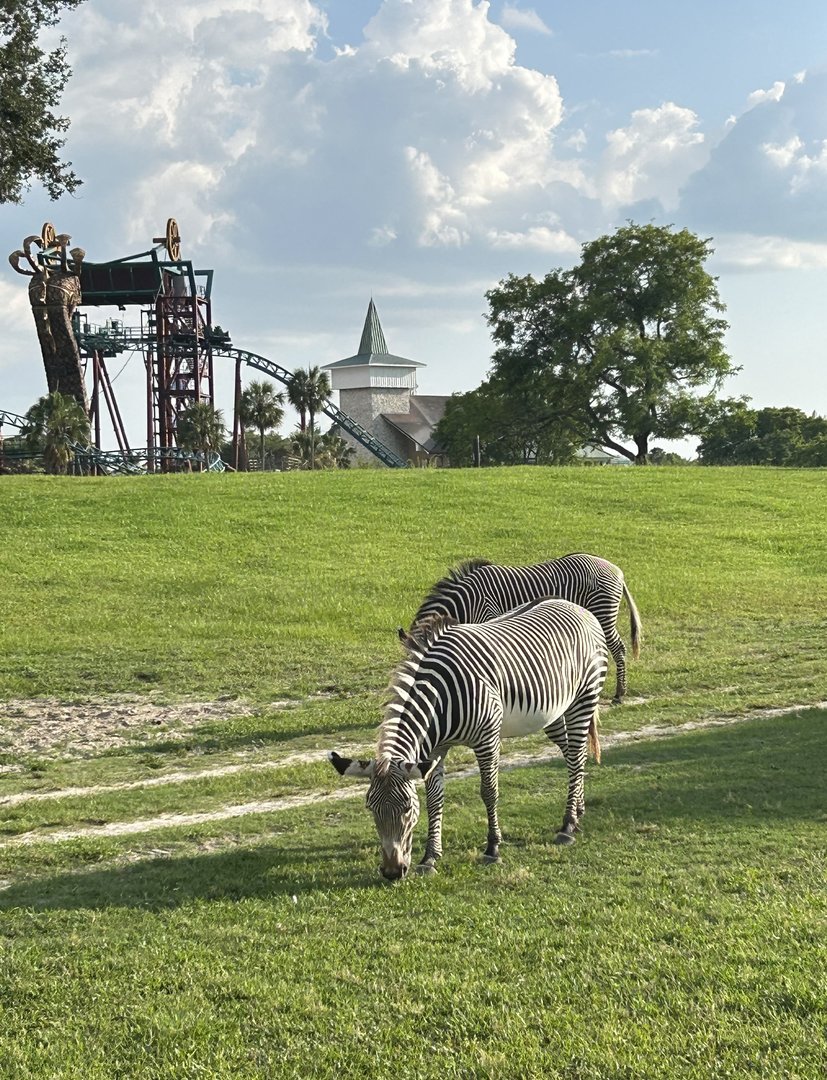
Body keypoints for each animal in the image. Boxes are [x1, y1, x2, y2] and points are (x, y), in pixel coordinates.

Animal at [330, 597, 608, 880]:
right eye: (370, 807)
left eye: (407, 807)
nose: (392, 873)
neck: (439, 700)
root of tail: (574, 606)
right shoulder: (434, 750)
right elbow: (434, 799)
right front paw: (430, 857)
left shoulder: (487, 739)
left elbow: (489, 792)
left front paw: (493, 848)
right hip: (553, 714)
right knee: (572, 753)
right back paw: (578, 811)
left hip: (583, 698)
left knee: (576, 756)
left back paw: (568, 826)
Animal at [401, 552, 641, 704]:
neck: (466, 601)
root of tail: (616, 571)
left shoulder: (489, 616)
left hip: (603, 613)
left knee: (618, 648)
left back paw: (620, 694)